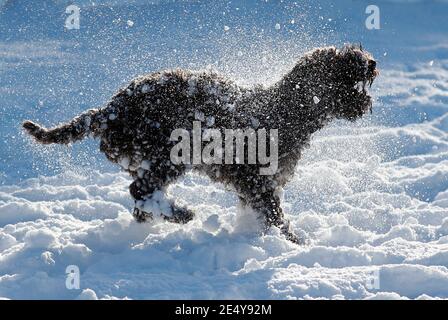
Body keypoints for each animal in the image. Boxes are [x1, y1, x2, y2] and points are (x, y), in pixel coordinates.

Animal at [21, 45, 378, 244]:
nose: (371, 62)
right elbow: (276, 215)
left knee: (141, 201)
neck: (285, 110)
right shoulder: (258, 183)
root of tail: (108, 110)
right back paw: (181, 214)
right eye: (344, 63)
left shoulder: (255, 187)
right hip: (167, 155)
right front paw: (293, 243)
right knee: (141, 192)